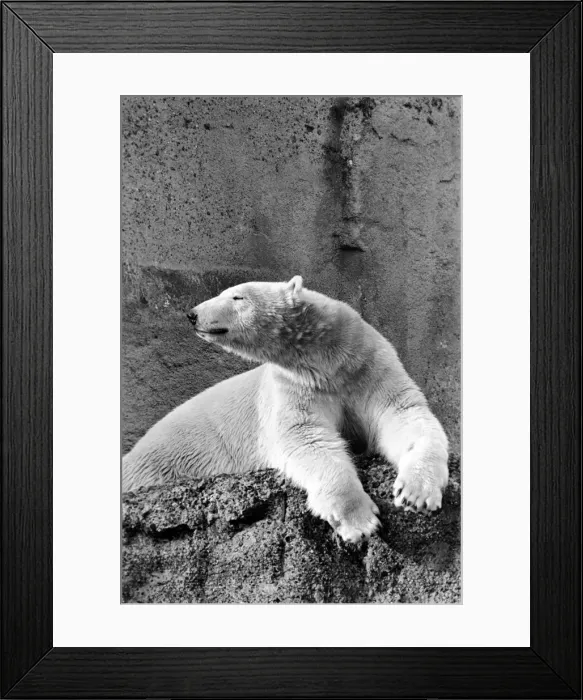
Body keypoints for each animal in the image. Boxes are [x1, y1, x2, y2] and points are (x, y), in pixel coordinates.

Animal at [122, 276, 449, 543]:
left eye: (237, 297)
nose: (192, 314)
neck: (329, 359)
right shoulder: (295, 384)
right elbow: (305, 436)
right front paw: (360, 521)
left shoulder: (367, 366)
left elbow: (403, 414)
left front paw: (416, 493)